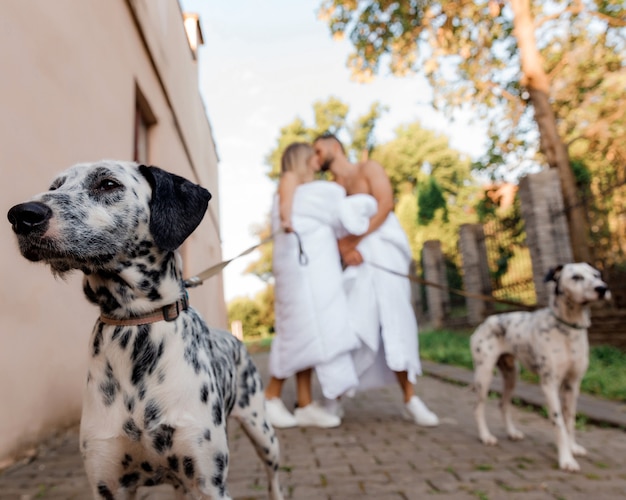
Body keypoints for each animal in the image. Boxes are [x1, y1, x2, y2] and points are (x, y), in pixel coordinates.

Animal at [6, 162, 286, 498]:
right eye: (55, 186)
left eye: (108, 183)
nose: (22, 215)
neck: (135, 326)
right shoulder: (107, 482)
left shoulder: (208, 483)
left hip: (262, 433)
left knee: (274, 479)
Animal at [470, 262, 608, 472]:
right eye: (576, 277)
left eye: (596, 275)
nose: (602, 288)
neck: (568, 329)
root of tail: (486, 321)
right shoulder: (549, 384)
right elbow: (558, 423)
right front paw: (566, 459)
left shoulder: (573, 384)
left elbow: (570, 420)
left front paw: (573, 447)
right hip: (484, 375)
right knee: (478, 407)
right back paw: (485, 436)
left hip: (512, 375)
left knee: (503, 404)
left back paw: (512, 432)